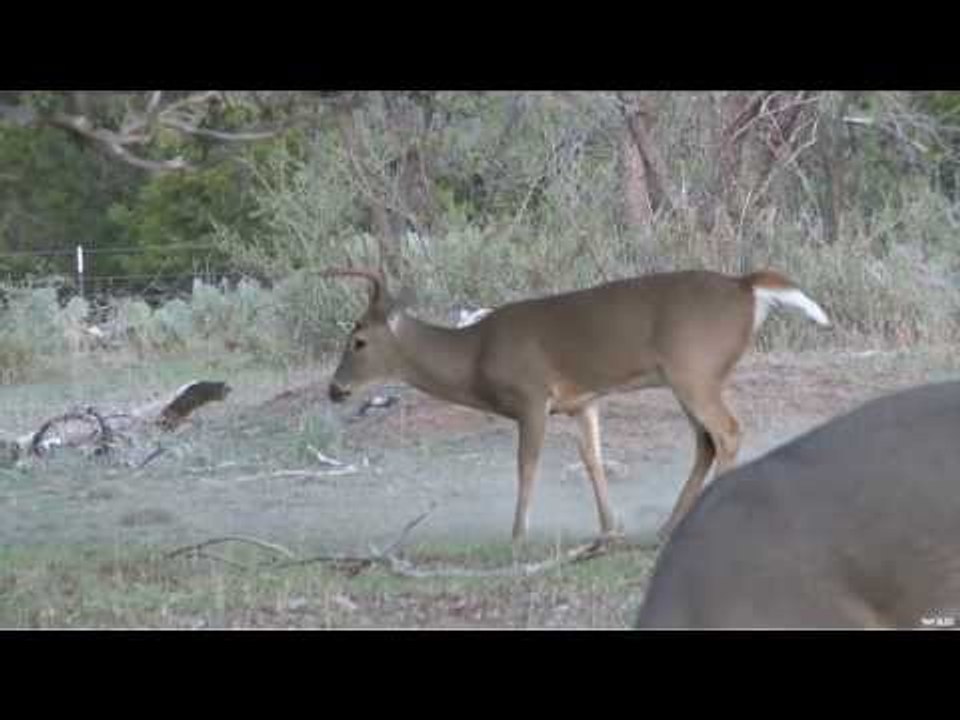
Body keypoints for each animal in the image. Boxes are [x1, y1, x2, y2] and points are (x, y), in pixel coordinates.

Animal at [323, 266, 830, 542]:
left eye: (358, 340)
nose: (334, 389)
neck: (474, 357)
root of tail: (746, 288)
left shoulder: (531, 395)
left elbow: (526, 464)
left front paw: (518, 534)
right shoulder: (583, 402)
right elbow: (593, 458)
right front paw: (610, 527)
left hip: (694, 370)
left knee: (727, 431)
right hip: (691, 377)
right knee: (706, 442)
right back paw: (667, 526)